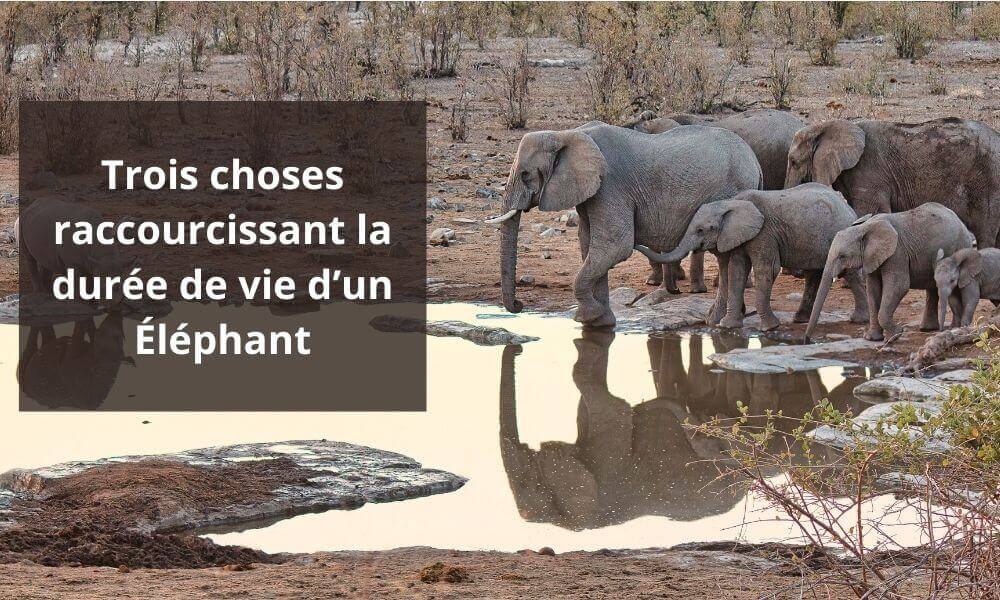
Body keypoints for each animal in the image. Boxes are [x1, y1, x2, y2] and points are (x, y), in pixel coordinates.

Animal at [489, 122, 762, 327]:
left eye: (525, 175)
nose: (519, 306)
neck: (567, 134)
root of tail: (755, 162)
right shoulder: (592, 190)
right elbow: (589, 245)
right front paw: (601, 322)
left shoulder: (610, 186)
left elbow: (614, 246)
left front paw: (588, 316)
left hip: (730, 193)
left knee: (725, 256)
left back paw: (717, 321)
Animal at [636, 183, 868, 330]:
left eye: (701, 230)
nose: (675, 291)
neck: (731, 204)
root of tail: (847, 206)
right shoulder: (739, 236)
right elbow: (737, 269)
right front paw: (727, 326)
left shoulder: (764, 233)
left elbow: (766, 270)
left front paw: (769, 328)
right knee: (813, 275)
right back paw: (800, 319)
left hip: (840, 233)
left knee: (848, 272)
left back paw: (858, 320)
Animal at [785, 117, 1000, 250]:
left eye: (794, 162)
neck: (827, 126)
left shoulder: (869, 172)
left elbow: (868, 212)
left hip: (987, 181)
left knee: (986, 232)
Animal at [805, 203, 976, 341]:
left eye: (842, 256)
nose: (807, 340)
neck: (864, 228)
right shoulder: (871, 257)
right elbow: (873, 289)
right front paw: (872, 338)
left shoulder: (897, 253)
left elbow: (899, 286)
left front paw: (896, 335)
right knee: (933, 287)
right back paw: (927, 329)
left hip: (959, 247)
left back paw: (950, 329)